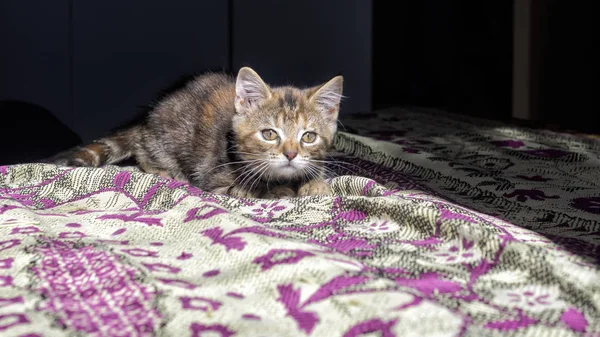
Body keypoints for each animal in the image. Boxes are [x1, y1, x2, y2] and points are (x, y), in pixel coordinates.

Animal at [48, 67, 342, 198]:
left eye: (308, 136)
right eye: (269, 134)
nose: (291, 154)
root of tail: (147, 119)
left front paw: (315, 183)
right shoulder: (219, 182)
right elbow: (256, 190)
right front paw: (280, 191)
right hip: (166, 136)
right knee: (144, 149)